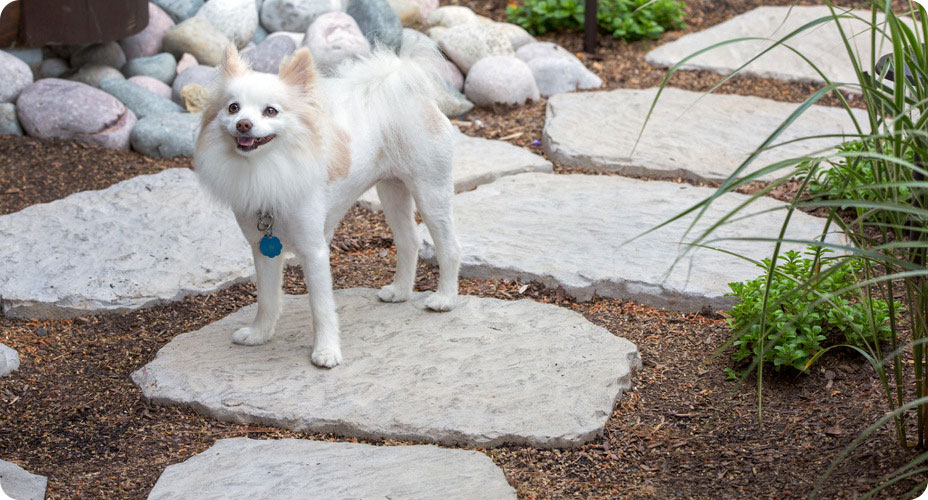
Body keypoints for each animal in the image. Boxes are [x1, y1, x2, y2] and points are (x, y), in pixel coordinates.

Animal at [195, 40, 460, 368]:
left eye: (270, 111)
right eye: (233, 108)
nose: (243, 124)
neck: (267, 166)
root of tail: (408, 90)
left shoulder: (315, 251)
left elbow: (321, 307)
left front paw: (326, 351)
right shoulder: (263, 248)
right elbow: (266, 299)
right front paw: (259, 334)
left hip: (430, 193)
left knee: (450, 247)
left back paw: (445, 299)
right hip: (392, 191)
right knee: (409, 240)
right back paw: (400, 291)